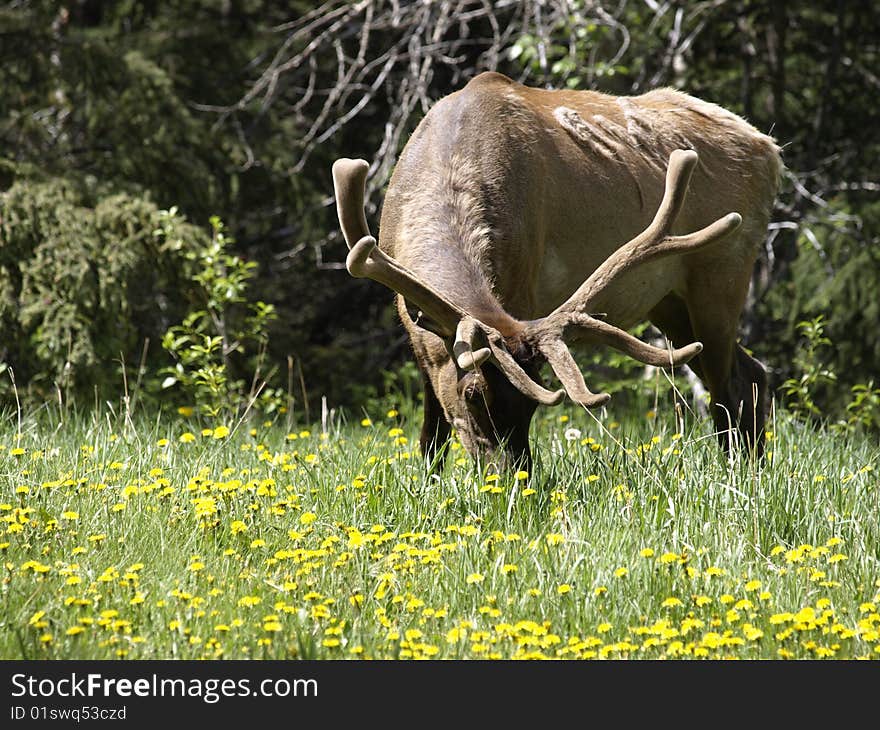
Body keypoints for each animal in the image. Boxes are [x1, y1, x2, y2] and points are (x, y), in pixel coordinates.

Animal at [332, 71, 784, 470]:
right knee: (752, 372)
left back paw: (738, 474)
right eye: (472, 392)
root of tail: (770, 148)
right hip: (669, 302)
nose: (511, 478)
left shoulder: (521, 288)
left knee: (729, 388)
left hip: (723, 269)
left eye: (534, 402)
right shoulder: (416, 329)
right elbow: (431, 434)